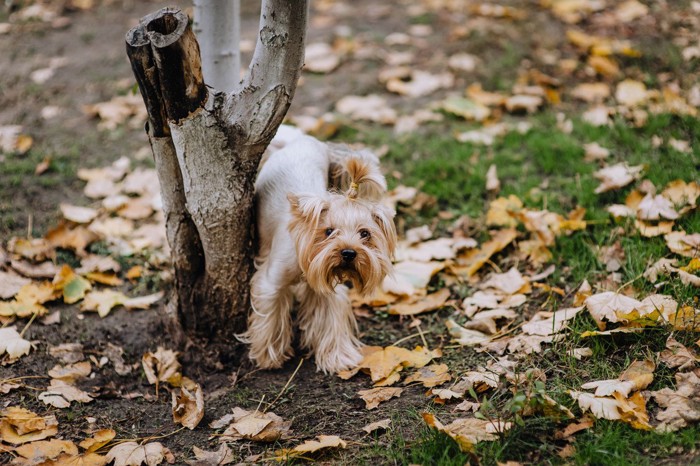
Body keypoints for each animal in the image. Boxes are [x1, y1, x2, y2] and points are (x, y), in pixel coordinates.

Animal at [241, 128, 396, 374]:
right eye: (328, 231)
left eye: (365, 234)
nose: (349, 253)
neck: (308, 258)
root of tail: (298, 137)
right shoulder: (271, 282)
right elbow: (271, 313)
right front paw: (268, 357)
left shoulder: (326, 281)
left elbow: (329, 314)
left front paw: (338, 358)